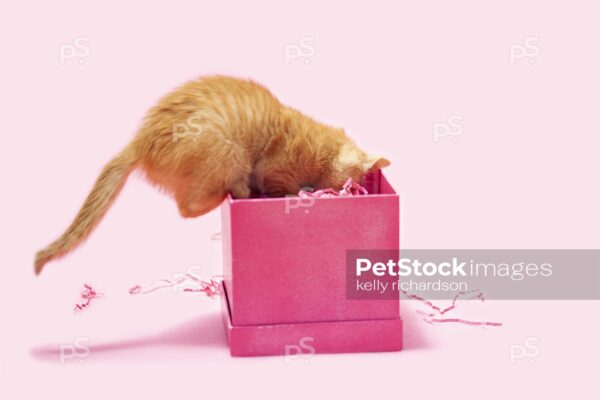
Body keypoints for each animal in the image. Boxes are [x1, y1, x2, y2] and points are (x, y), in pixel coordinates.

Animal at [34, 75, 390, 276]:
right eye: (354, 183)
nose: (355, 190)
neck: (321, 148)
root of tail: (140, 141)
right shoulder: (274, 171)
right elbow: (281, 188)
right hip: (226, 154)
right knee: (187, 206)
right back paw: (233, 193)